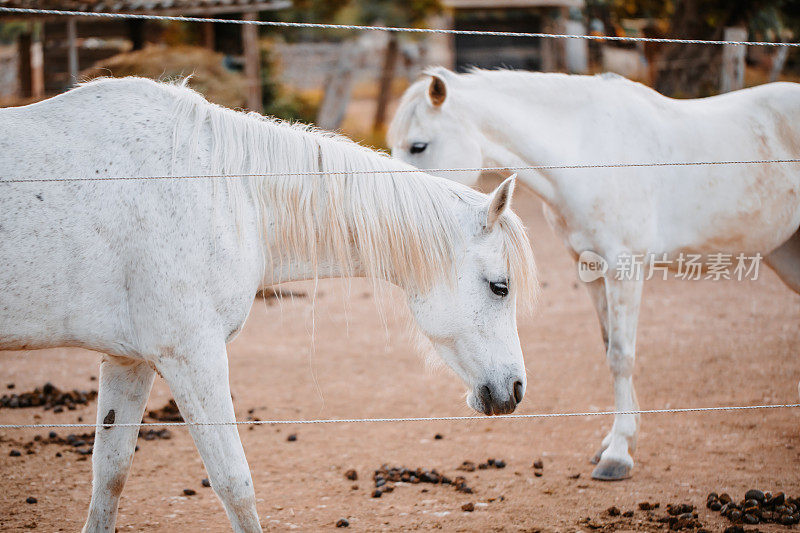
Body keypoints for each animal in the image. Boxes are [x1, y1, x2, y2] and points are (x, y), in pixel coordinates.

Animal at [1, 77, 536, 528]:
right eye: (500, 287)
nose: (514, 389)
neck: (225, 193)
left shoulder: (127, 361)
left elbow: (110, 475)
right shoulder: (192, 357)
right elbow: (234, 483)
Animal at [388, 65, 800, 478]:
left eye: (418, 146)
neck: (589, 150)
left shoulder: (624, 269)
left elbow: (621, 355)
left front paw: (618, 455)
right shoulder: (589, 268)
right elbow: (608, 346)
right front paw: (617, 441)